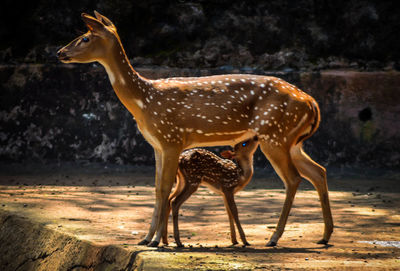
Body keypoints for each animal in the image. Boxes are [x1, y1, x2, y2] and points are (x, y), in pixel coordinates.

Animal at [57, 11, 334, 249]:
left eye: (85, 37)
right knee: (318, 171)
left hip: (274, 135)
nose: (60, 52)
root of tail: (312, 102)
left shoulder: (171, 138)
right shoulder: (157, 145)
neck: (144, 100)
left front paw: (156, 241)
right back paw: (324, 235)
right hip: (292, 140)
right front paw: (147, 238)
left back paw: (274, 238)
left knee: (293, 179)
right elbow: (157, 189)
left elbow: (164, 188)